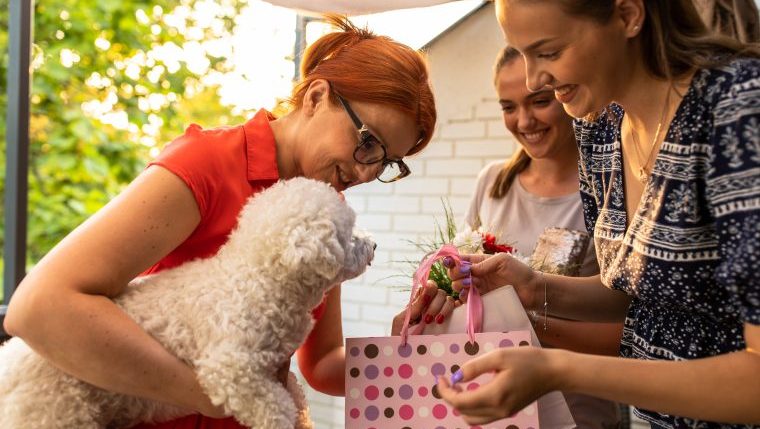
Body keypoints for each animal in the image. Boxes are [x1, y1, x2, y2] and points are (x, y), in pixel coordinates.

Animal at [0, 176, 378, 426]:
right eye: (349, 231)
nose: (374, 244)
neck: (259, 277)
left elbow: (295, 394)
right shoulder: (231, 367)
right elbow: (276, 406)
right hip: (54, 412)